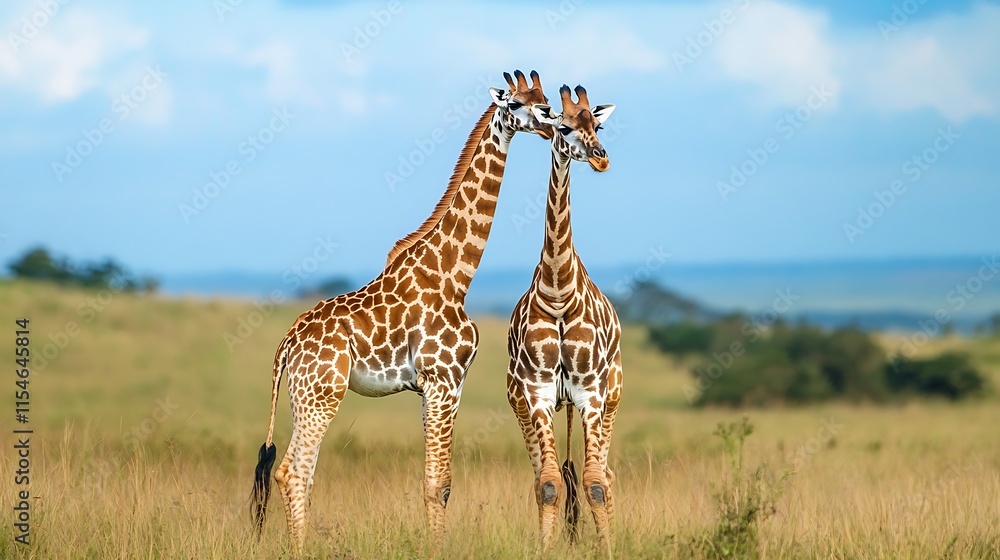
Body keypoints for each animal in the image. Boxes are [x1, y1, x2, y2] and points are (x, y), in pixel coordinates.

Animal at [249, 70, 553, 555]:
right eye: (518, 104)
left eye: (545, 100)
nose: (550, 122)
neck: (455, 276)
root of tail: (287, 344)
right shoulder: (443, 380)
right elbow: (438, 485)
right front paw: (438, 551)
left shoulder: (438, 387)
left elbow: (437, 482)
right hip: (322, 395)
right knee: (293, 471)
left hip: (302, 396)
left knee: (296, 472)